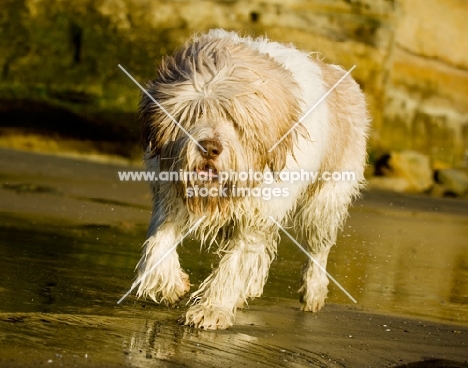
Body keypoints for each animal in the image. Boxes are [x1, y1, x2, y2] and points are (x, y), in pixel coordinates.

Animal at [133, 28, 370, 328]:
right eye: (197, 111)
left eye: (235, 121)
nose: (209, 148)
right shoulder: (169, 196)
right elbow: (158, 241)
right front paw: (169, 284)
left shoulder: (257, 213)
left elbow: (235, 263)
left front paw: (212, 310)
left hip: (325, 201)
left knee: (317, 247)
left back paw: (313, 291)